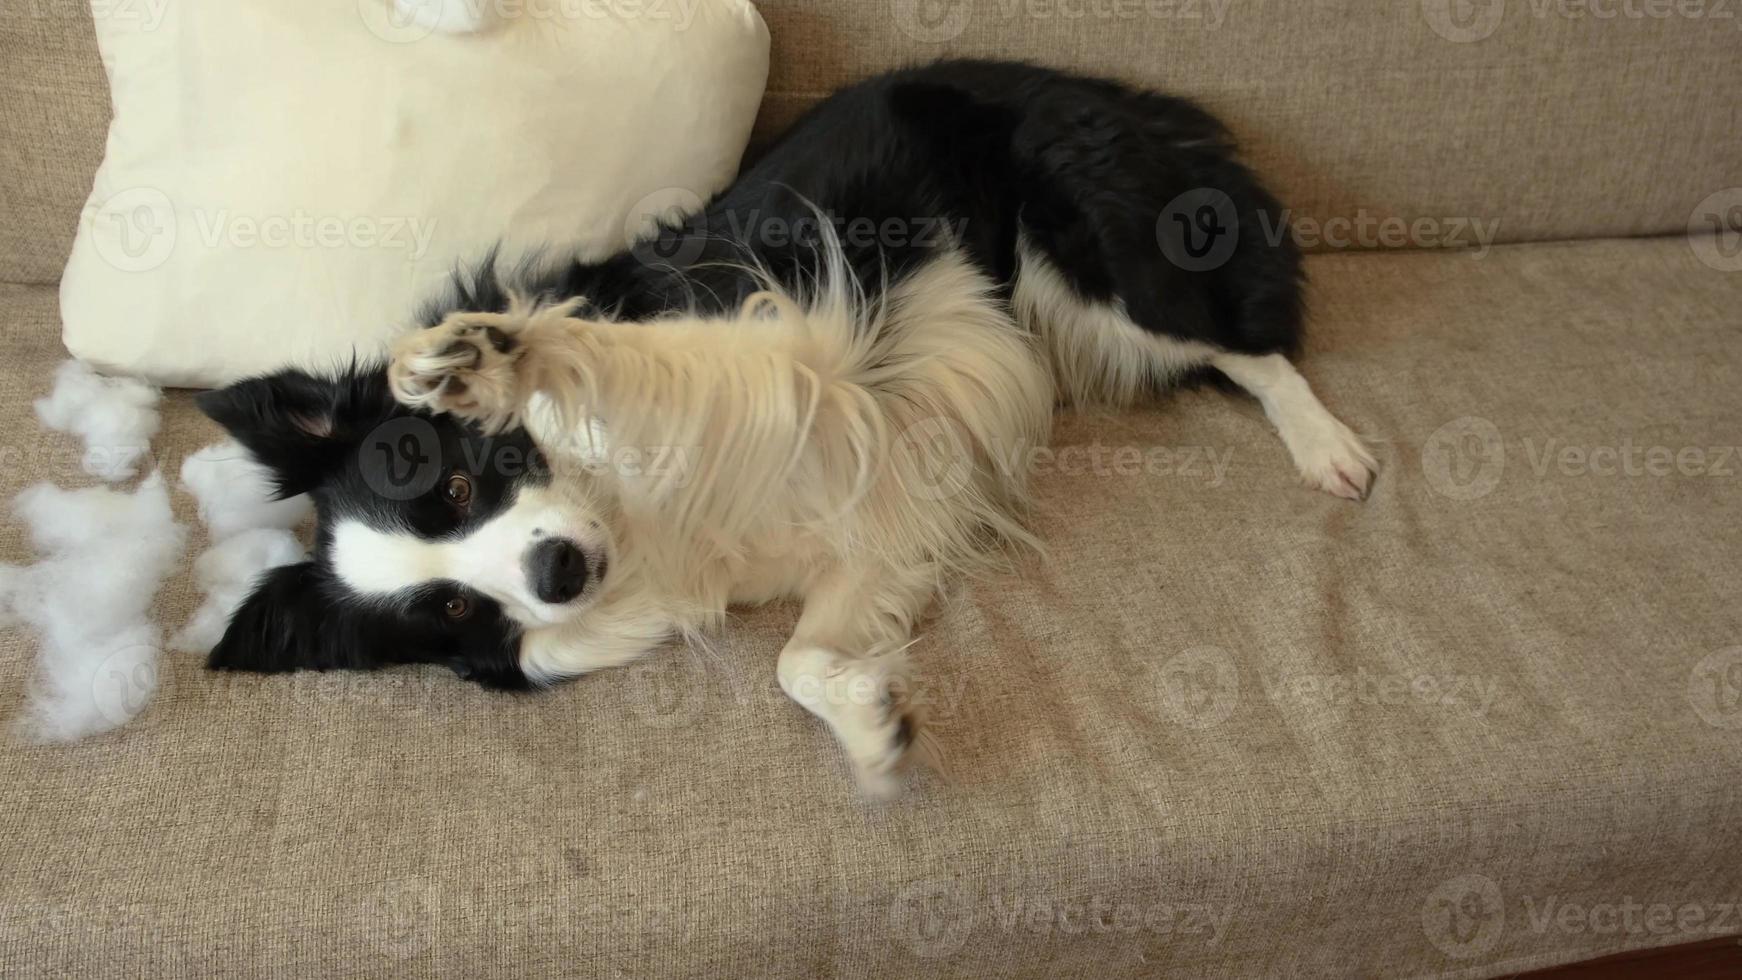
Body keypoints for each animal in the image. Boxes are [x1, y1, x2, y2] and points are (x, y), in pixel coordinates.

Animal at [200, 59, 1372, 797]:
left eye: (451, 481)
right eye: (450, 607)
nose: (556, 574)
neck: (633, 516)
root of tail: (1074, 81)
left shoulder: (788, 349)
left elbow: (609, 358)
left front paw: (484, 359)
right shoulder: (874, 536)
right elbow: (796, 662)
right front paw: (871, 729)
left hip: (1093, 270)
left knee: (1243, 345)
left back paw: (1330, 448)